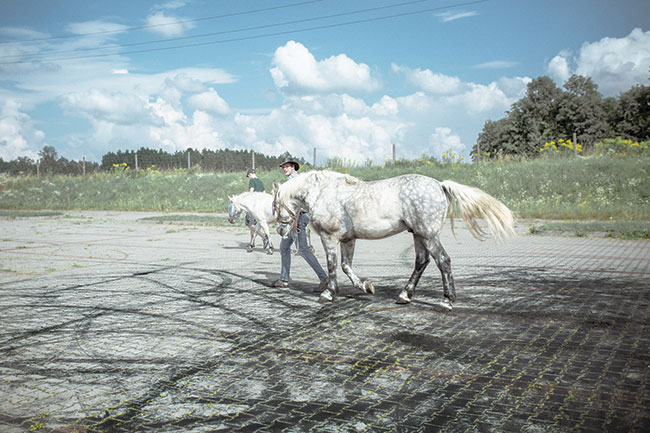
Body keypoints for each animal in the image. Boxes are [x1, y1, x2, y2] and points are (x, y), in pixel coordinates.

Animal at [270, 169, 512, 308]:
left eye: (274, 204)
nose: (281, 231)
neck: (322, 192)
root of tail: (440, 185)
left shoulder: (330, 238)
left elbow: (332, 266)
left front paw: (329, 293)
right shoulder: (348, 239)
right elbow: (346, 266)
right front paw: (365, 286)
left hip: (428, 234)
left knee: (443, 261)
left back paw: (447, 300)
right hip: (419, 235)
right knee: (421, 262)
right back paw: (405, 295)